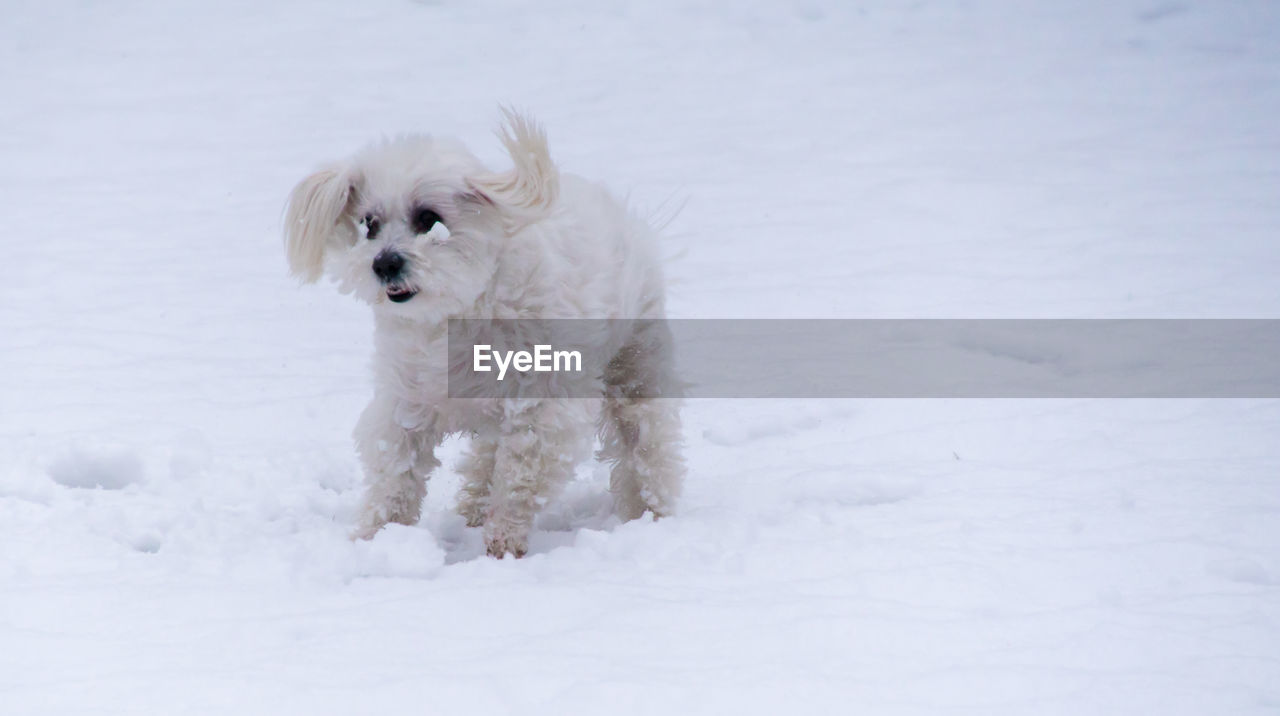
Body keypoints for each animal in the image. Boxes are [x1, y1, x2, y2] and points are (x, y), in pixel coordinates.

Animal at [285, 110, 686, 561]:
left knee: (647, 443)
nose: (384, 264)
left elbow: (519, 478)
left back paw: (652, 511)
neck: (459, 310)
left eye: (429, 219)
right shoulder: (407, 400)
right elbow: (395, 472)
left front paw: (503, 541)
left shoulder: (543, 410)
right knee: (484, 458)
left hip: (636, 366)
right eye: (369, 224)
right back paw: (471, 511)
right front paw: (376, 536)